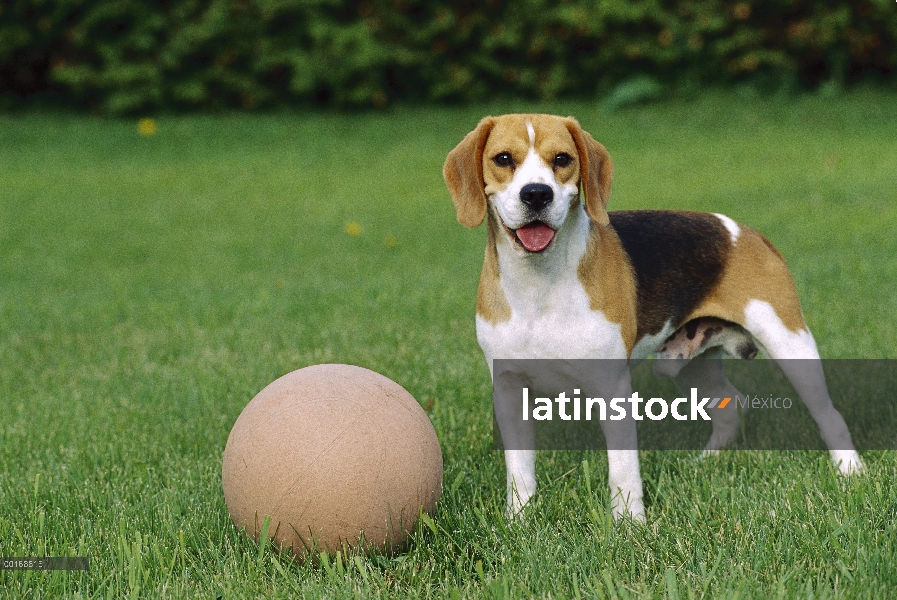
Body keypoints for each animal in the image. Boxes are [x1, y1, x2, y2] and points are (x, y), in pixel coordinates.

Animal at [444, 115, 864, 524]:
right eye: (503, 159)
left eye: (562, 159)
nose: (536, 194)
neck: (538, 284)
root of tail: (748, 233)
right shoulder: (509, 390)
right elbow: (519, 470)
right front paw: (520, 521)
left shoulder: (612, 388)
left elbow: (623, 470)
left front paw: (629, 526)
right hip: (688, 364)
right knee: (732, 405)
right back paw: (705, 463)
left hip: (791, 345)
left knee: (829, 415)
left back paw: (850, 472)